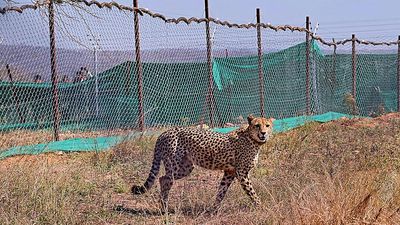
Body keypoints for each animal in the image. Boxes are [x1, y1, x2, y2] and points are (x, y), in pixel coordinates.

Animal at [132, 115, 276, 212]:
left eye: (267, 125)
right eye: (257, 125)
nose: (263, 133)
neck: (253, 139)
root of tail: (164, 132)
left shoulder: (229, 172)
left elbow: (221, 191)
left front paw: (214, 209)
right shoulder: (242, 173)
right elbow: (252, 192)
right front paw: (261, 207)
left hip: (186, 168)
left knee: (163, 178)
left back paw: (163, 207)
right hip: (174, 165)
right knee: (165, 179)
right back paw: (164, 208)